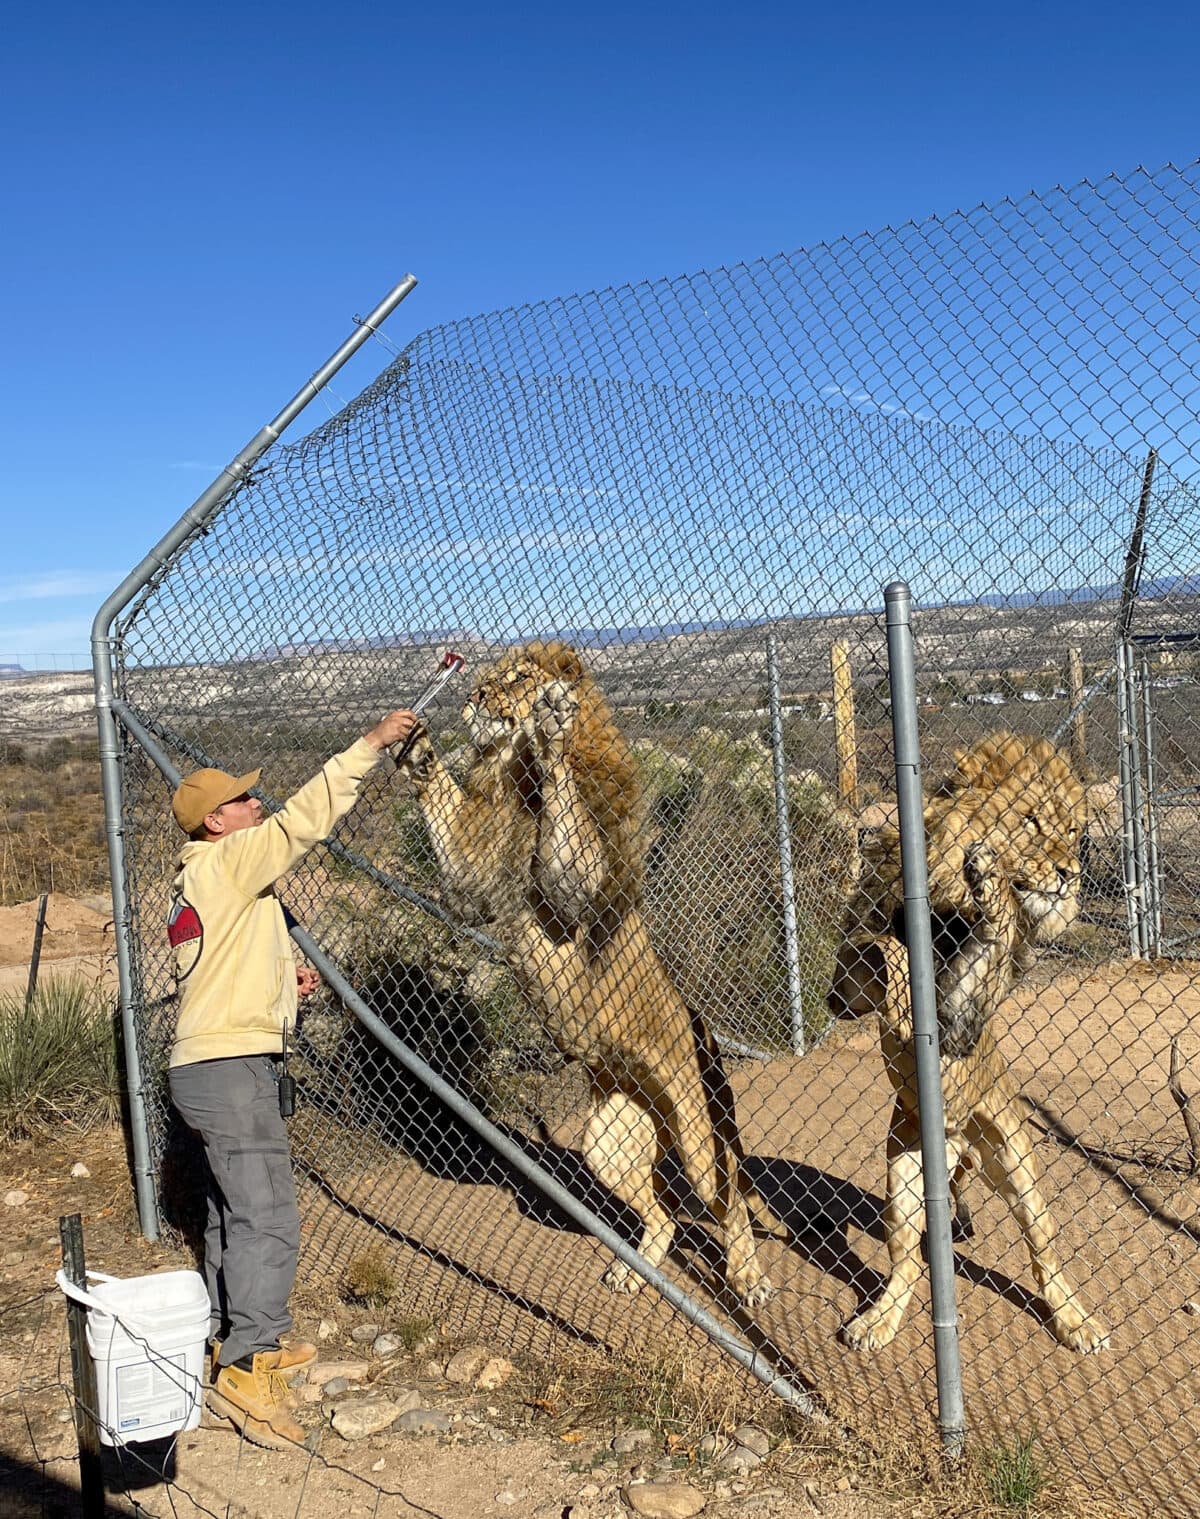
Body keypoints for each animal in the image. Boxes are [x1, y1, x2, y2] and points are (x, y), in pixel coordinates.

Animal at [397, 637, 789, 1306]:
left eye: (517, 677)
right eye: (487, 677)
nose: (474, 694)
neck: (516, 773)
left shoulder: (578, 891)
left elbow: (567, 828)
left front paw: (555, 725)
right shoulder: (474, 875)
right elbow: (452, 831)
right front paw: (418, 751)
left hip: (699, 1135)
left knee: (728, 1201)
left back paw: (750, 1281)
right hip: (608, 1142)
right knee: (661, 1213)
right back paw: (636, 1271)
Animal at [832, 732, 1111, 1354]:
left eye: (1071, 830)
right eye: (1031, 821)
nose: (1069, 872)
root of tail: (958, 1140)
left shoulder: (960, 1027)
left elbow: (988, 933)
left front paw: (991, 888)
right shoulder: (847, 980)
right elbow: (876, 950)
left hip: (1018, 1166)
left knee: (1044, 1254)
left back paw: (1077, 1323)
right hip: (904, 1176)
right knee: (908, 1262)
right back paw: (876, 1322)